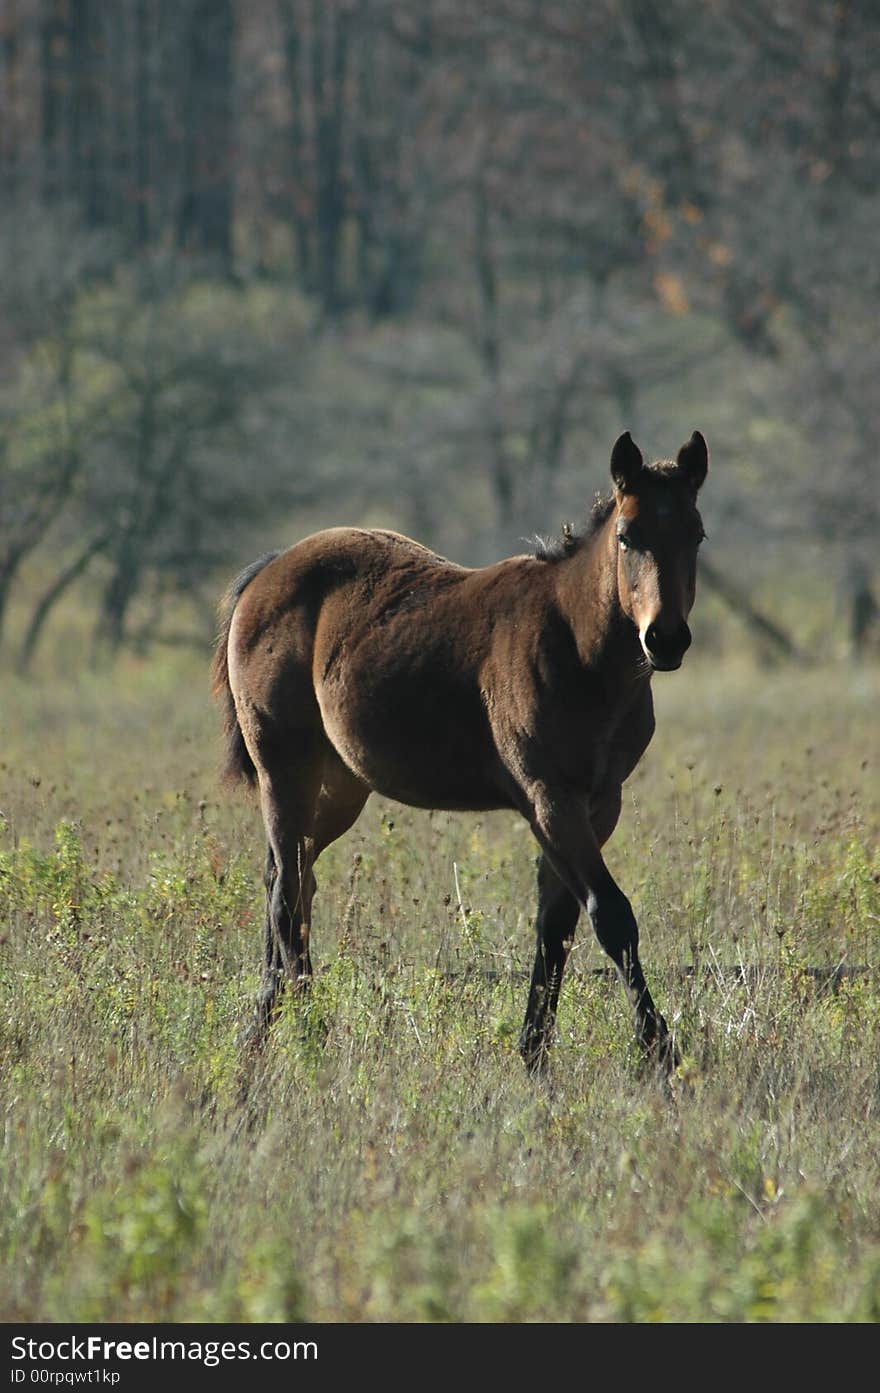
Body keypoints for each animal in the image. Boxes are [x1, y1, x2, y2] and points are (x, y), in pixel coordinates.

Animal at [211, 429, 707, 1069]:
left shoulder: (599, 803)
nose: (665, 639)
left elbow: (557, 923)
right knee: (287, 899)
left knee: (286, 877)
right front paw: (658, 1049)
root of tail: (268, 570)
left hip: (340, 786)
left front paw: (534, 1051)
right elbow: (610, 915)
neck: (576, 647)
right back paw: (309, 1033)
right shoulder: (550, 798)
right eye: (627, 535)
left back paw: (262, 1027)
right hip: (283, 767)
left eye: (696, 535)